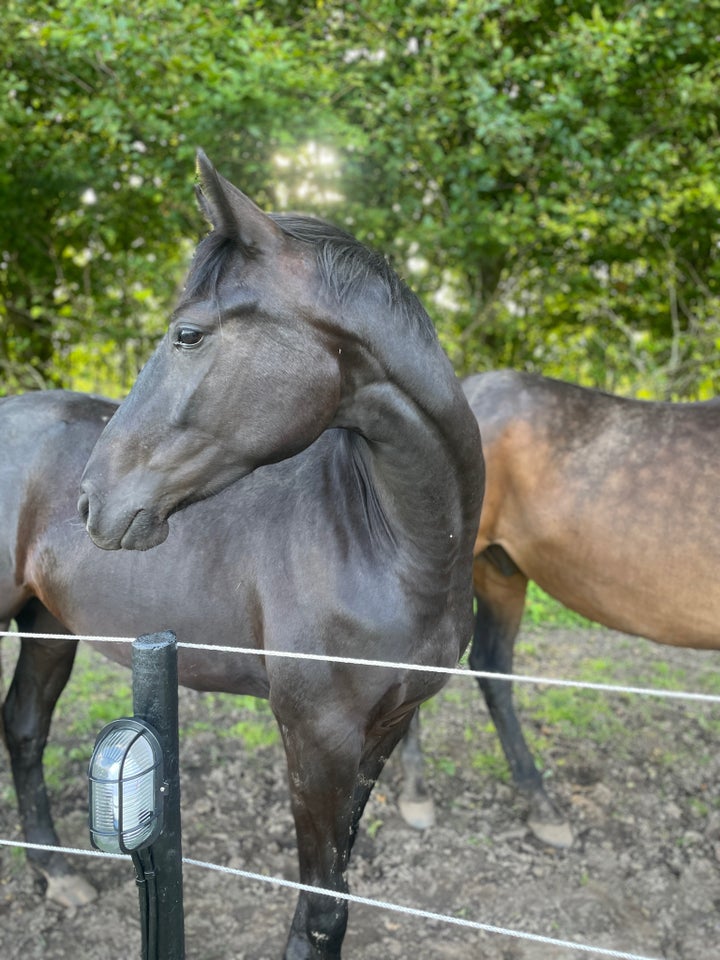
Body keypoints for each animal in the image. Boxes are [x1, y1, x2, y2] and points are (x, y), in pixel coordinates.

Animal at [2, 154, 484, 956]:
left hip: (48, 626)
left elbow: (330, 896)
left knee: (24, 726)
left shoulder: (382, 732)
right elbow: (323, 908)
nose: (93, 500)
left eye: (189, 334)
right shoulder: (317, 739)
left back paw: (58, 873)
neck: (399, 549)